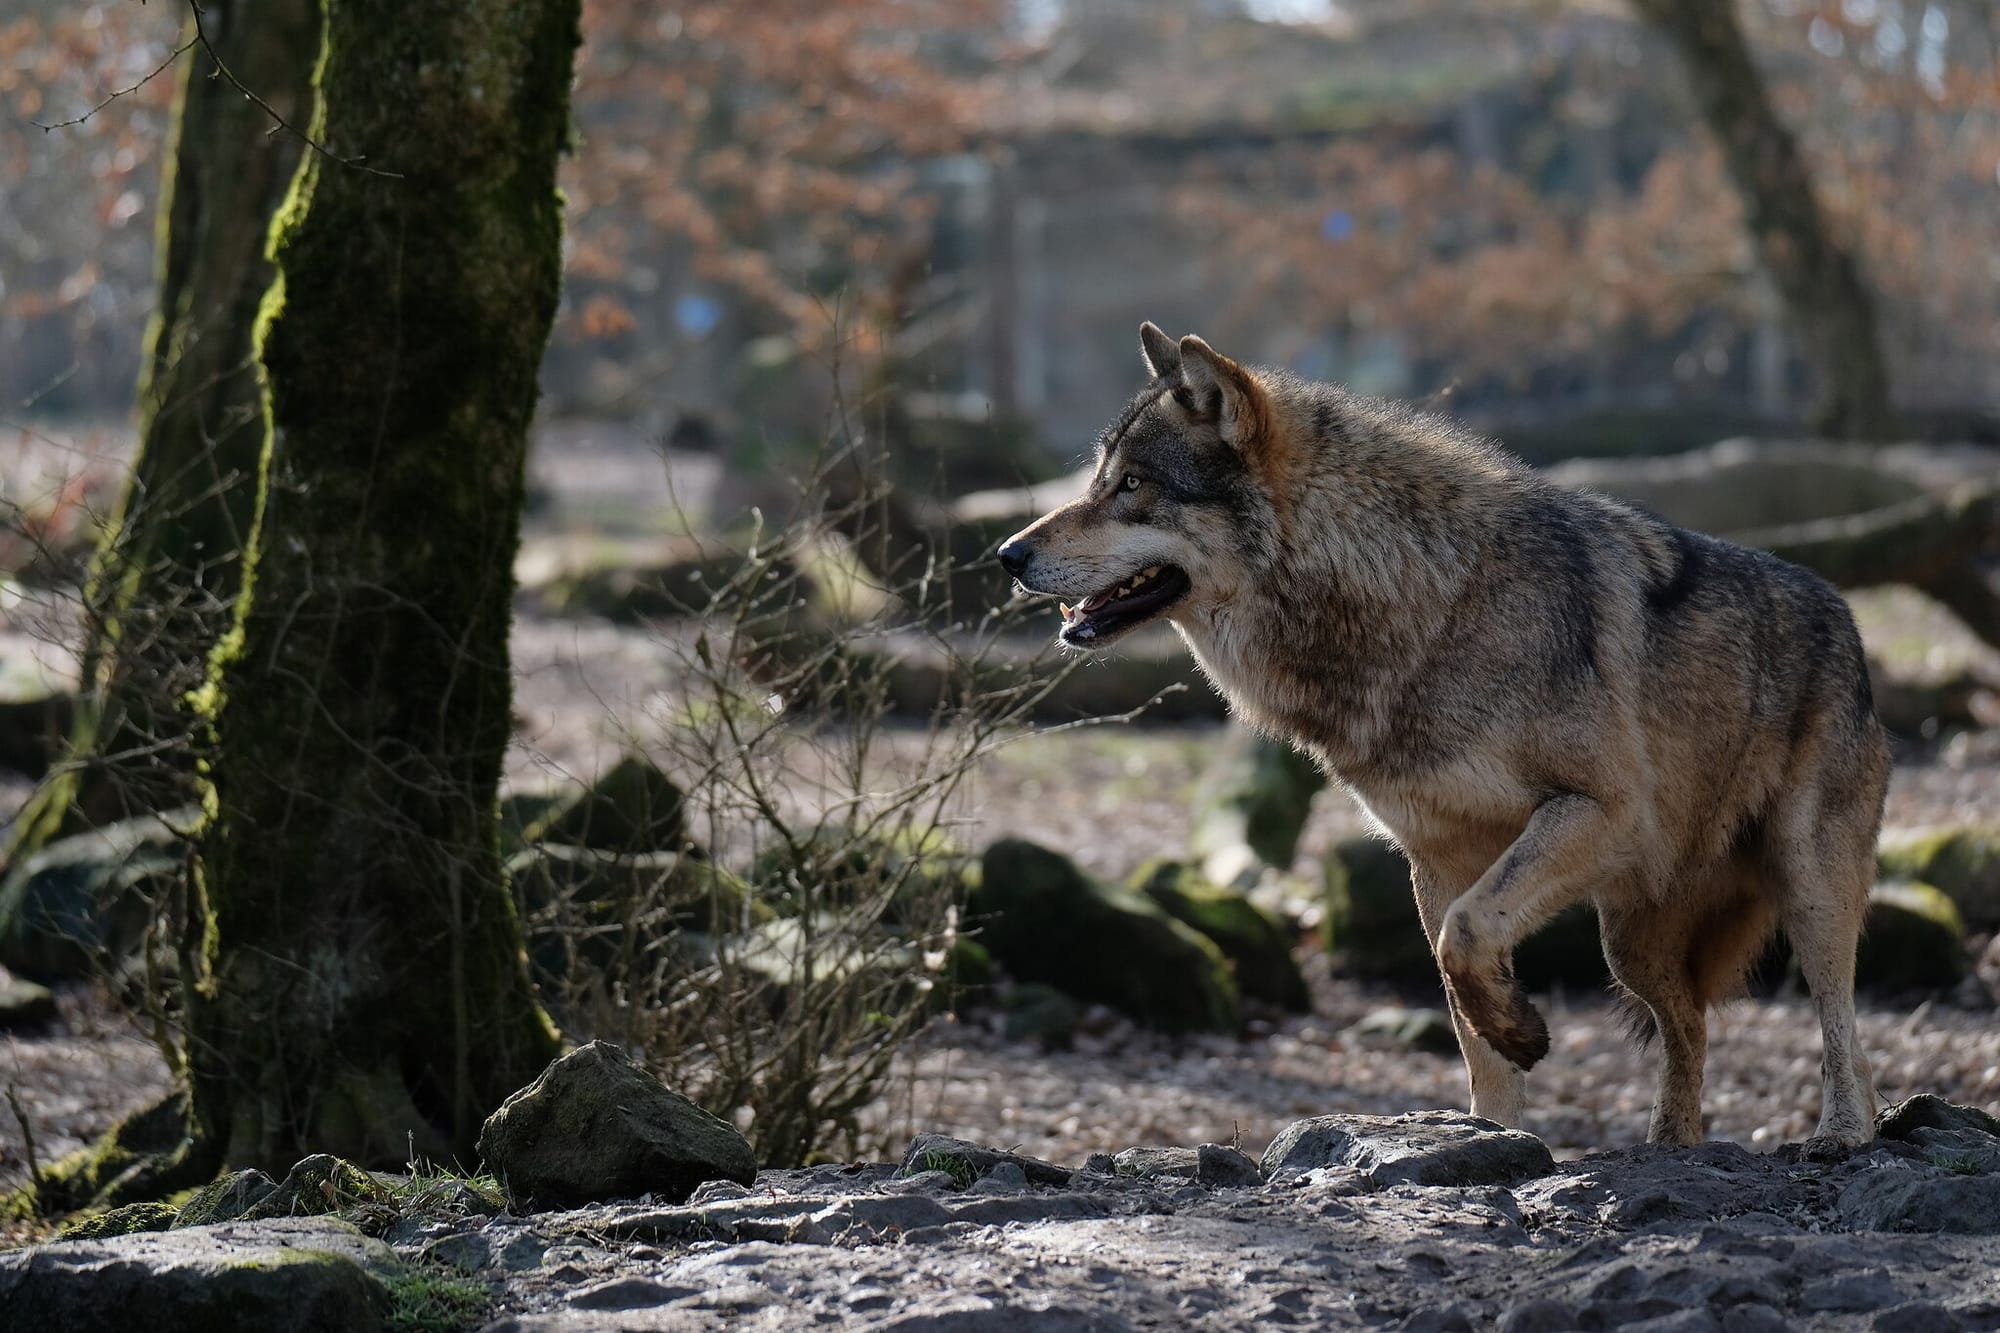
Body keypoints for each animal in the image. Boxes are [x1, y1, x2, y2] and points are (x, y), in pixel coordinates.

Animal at [996, 320, 1888, 1144]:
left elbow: (1469, 937)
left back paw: (1842, 1134)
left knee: (1844, 1029)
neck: (1425, 602)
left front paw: (1522, 1035)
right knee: (1691, 1028)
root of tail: (1846, 617)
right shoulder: (1436, 858)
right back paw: (1673, 1145)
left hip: (1805, 885)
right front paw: (1497, 1132)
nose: (1007, 552)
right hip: (1628, 940)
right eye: (1098, 479)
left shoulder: (1598, 811)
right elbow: (1462, 995)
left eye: (1132, 485)